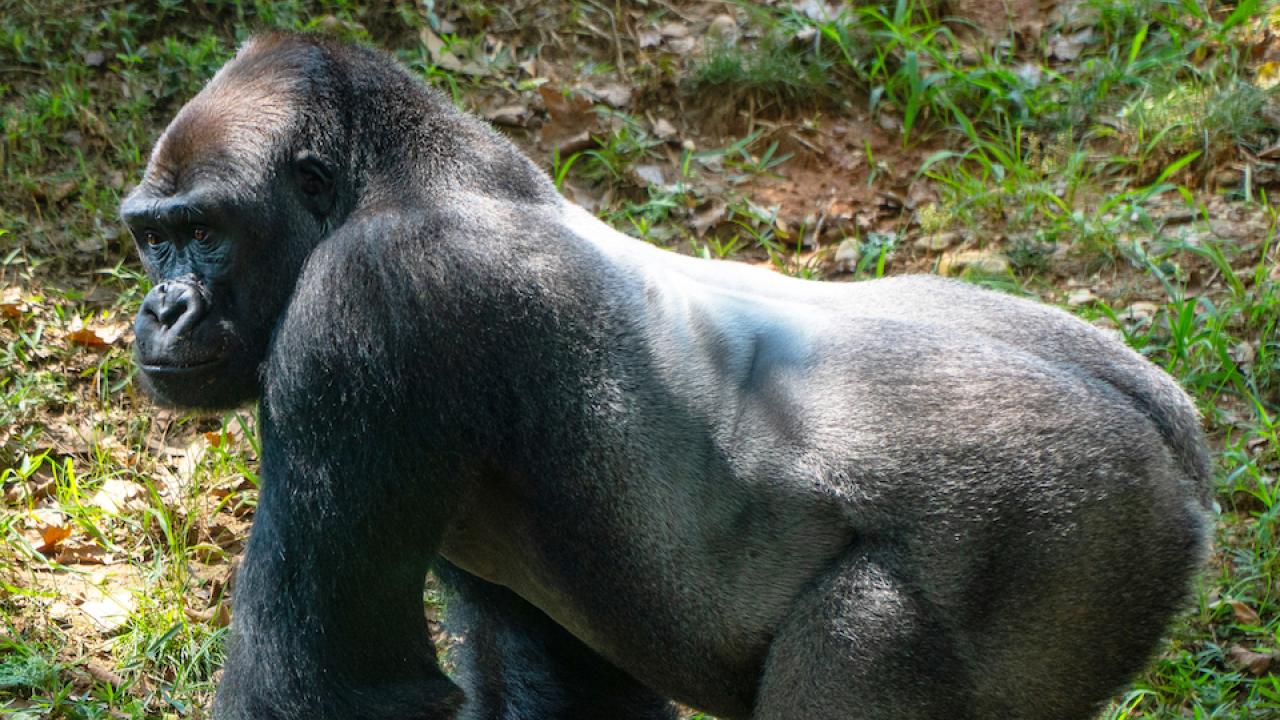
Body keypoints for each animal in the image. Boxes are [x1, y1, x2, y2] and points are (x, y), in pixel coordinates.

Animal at [121, 32, 1212, 720]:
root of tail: (1181, 452)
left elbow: (328, 690)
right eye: (151, 238)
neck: (396, 175)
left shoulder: (369, 307)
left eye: (205, 234)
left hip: (1073, 521)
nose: (160, 310)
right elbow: (561, 687)